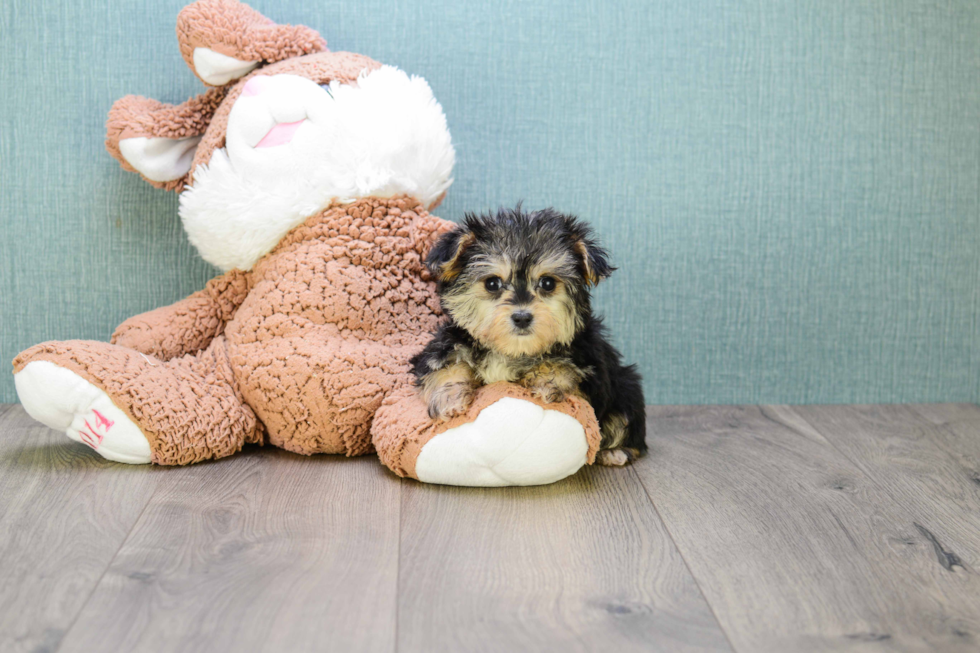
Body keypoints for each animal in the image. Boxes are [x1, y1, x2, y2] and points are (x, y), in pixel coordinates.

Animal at [410, 204, 648, 464]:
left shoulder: (590, 370)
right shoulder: (446, 344)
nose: (522, 317)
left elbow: (566, 367)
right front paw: (450, 399)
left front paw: (546, 381)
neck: (513, 350)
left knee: (627, 424)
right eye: (492, 283)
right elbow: (445, 366)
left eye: (547, 283)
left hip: (626, 387)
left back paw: (616, 452)